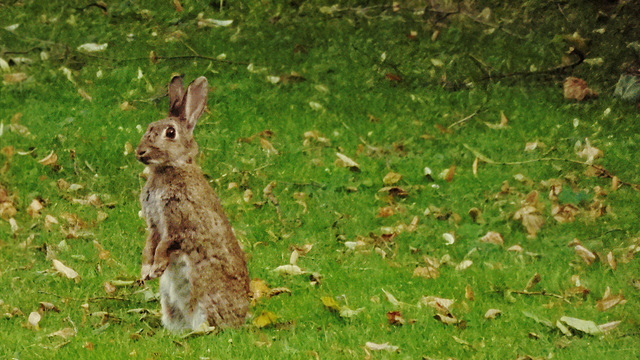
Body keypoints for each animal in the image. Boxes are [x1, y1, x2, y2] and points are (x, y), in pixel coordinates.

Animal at [136, 75, 250, 332]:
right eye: (149, 127)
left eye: (170, 133)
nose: (140, 152)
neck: (170, 168)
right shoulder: (154, 224)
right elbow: (149, 245)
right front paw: (146, 271)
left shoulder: (179, 221)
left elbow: (164, 245)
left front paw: (157, 268)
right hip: (169, 302)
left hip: (204, 295)